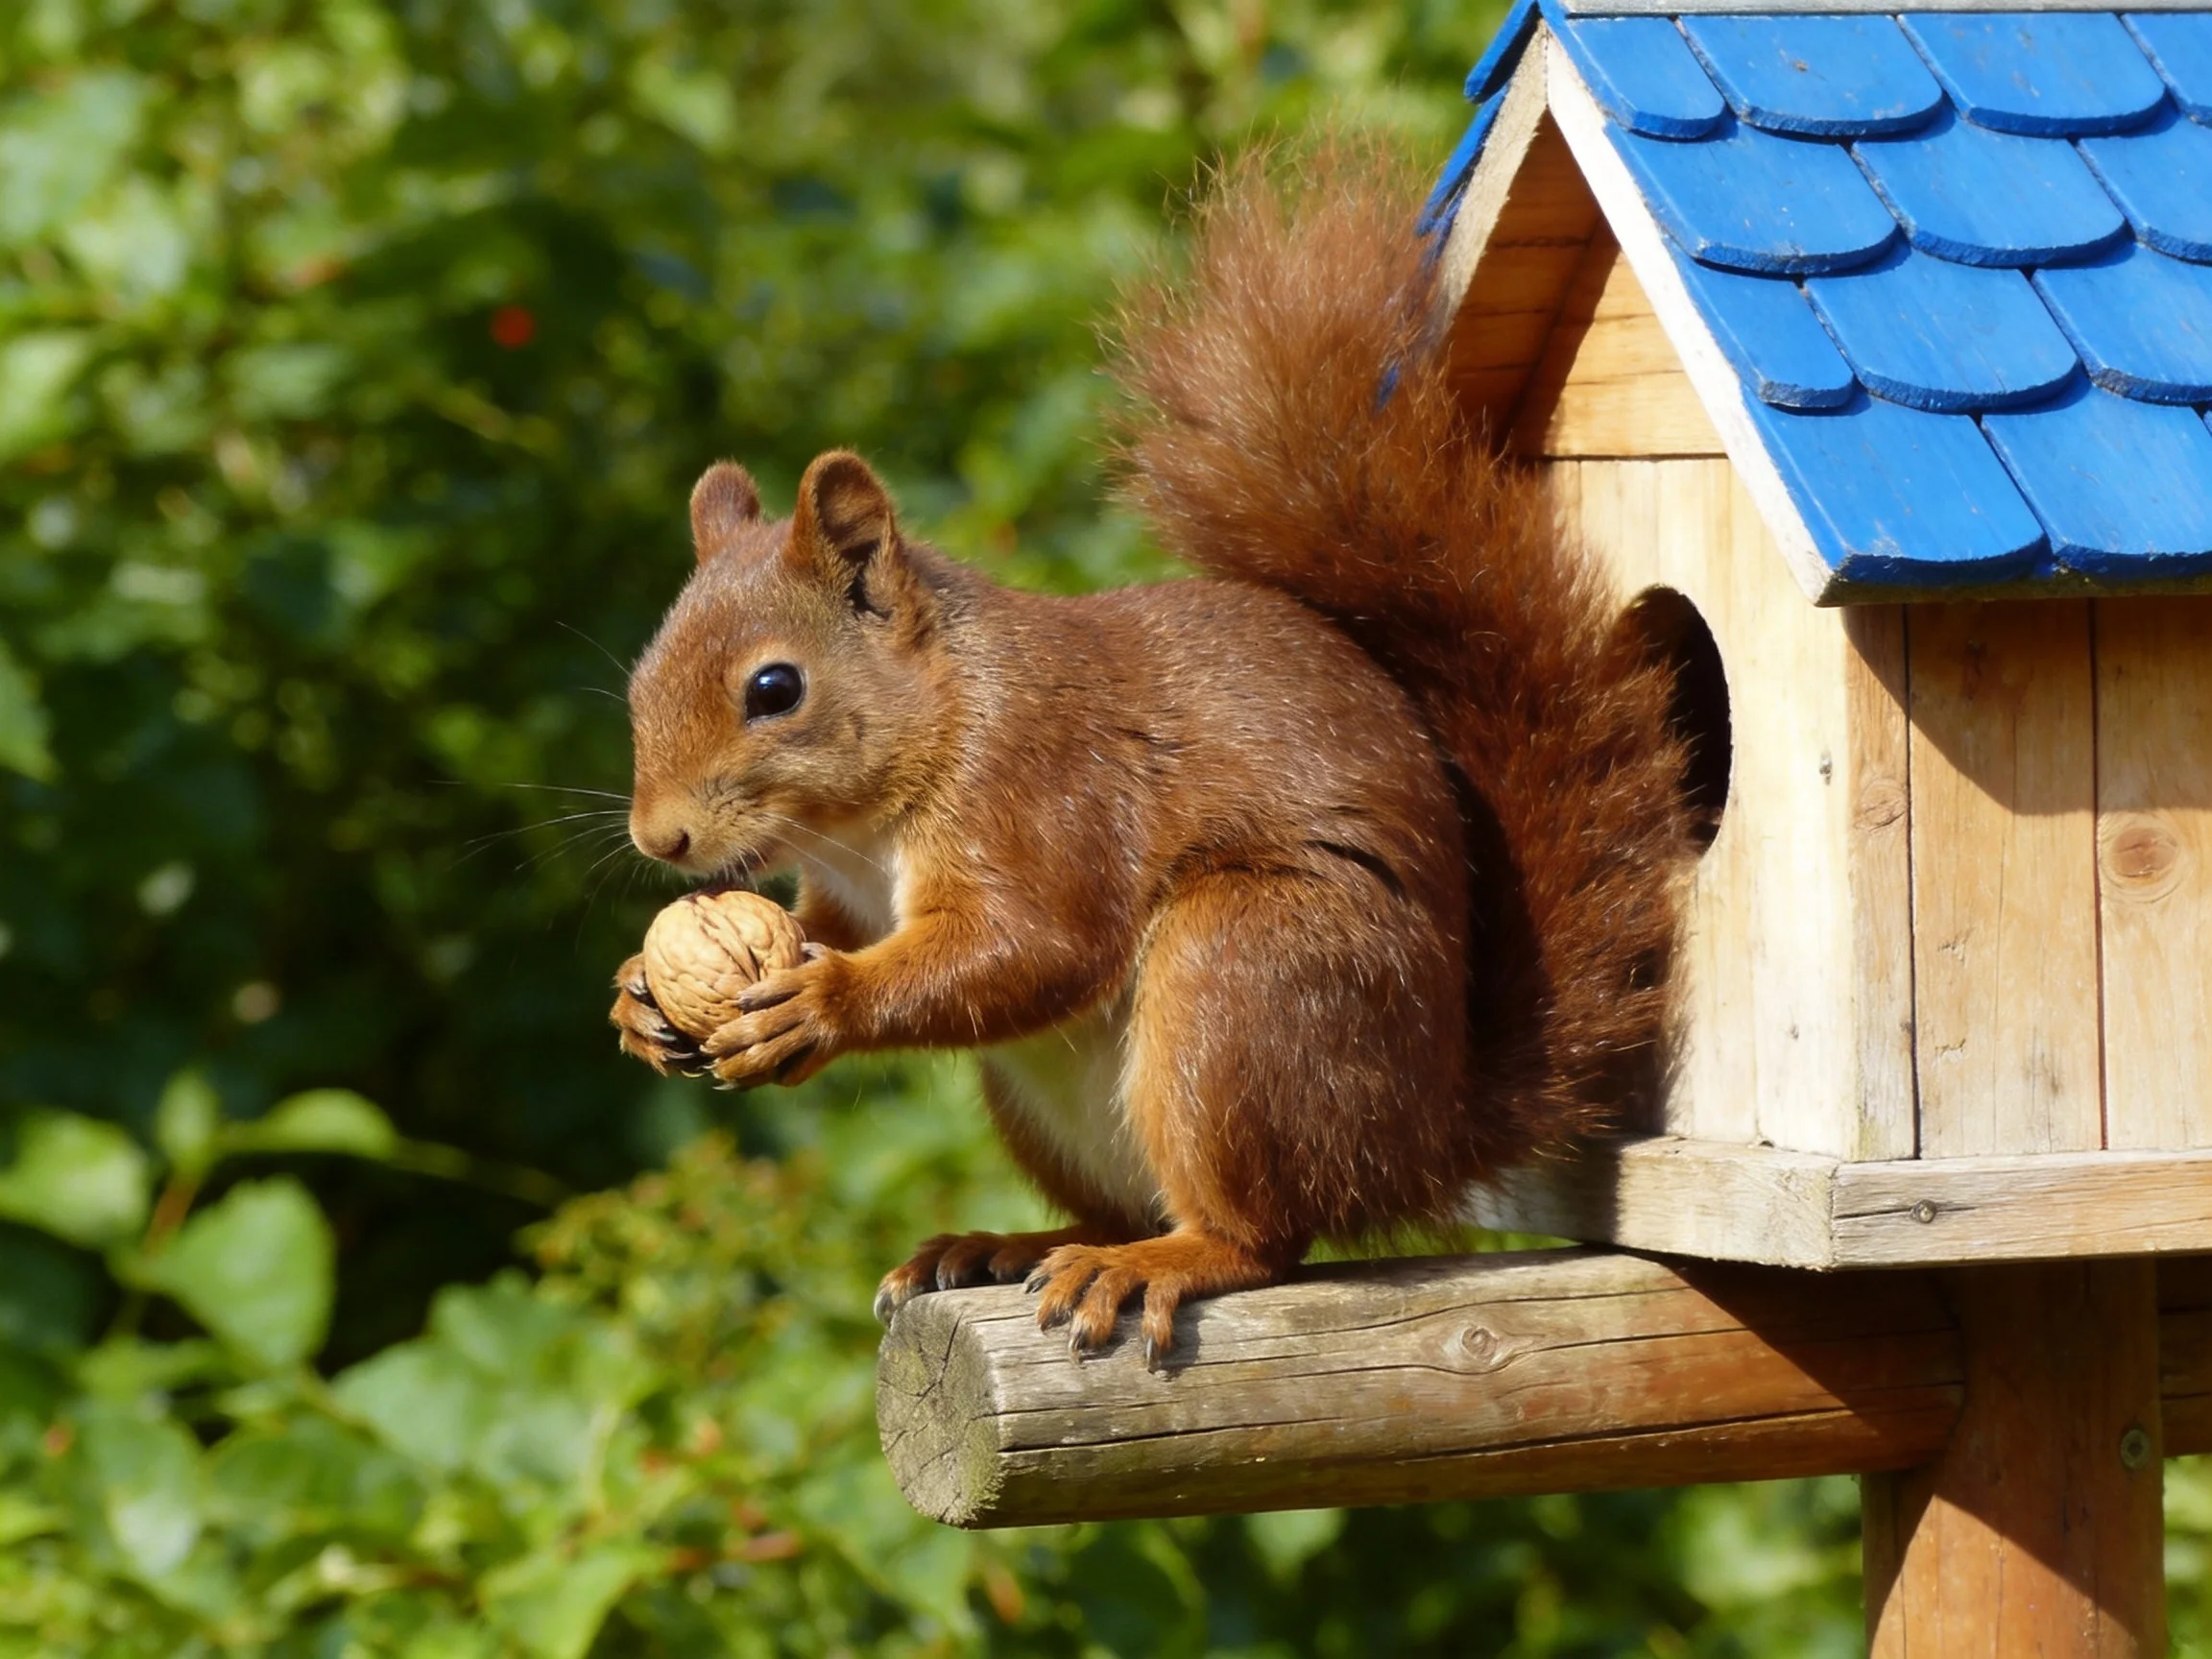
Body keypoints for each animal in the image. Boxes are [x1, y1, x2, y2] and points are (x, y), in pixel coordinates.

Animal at [609, 137, 1691, 1365]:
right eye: (640, 680)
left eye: (774, 689)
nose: (659, 837)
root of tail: (1422, 1134)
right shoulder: (849, 891)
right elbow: (833, 931)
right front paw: (640, 996)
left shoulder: (1039, 787)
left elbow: (1037, 944)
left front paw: (821, 1003)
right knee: (1121, 1204)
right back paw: (1005, 1244)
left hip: (1249, 975)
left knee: (1263, 1237)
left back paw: (1160, 1259)